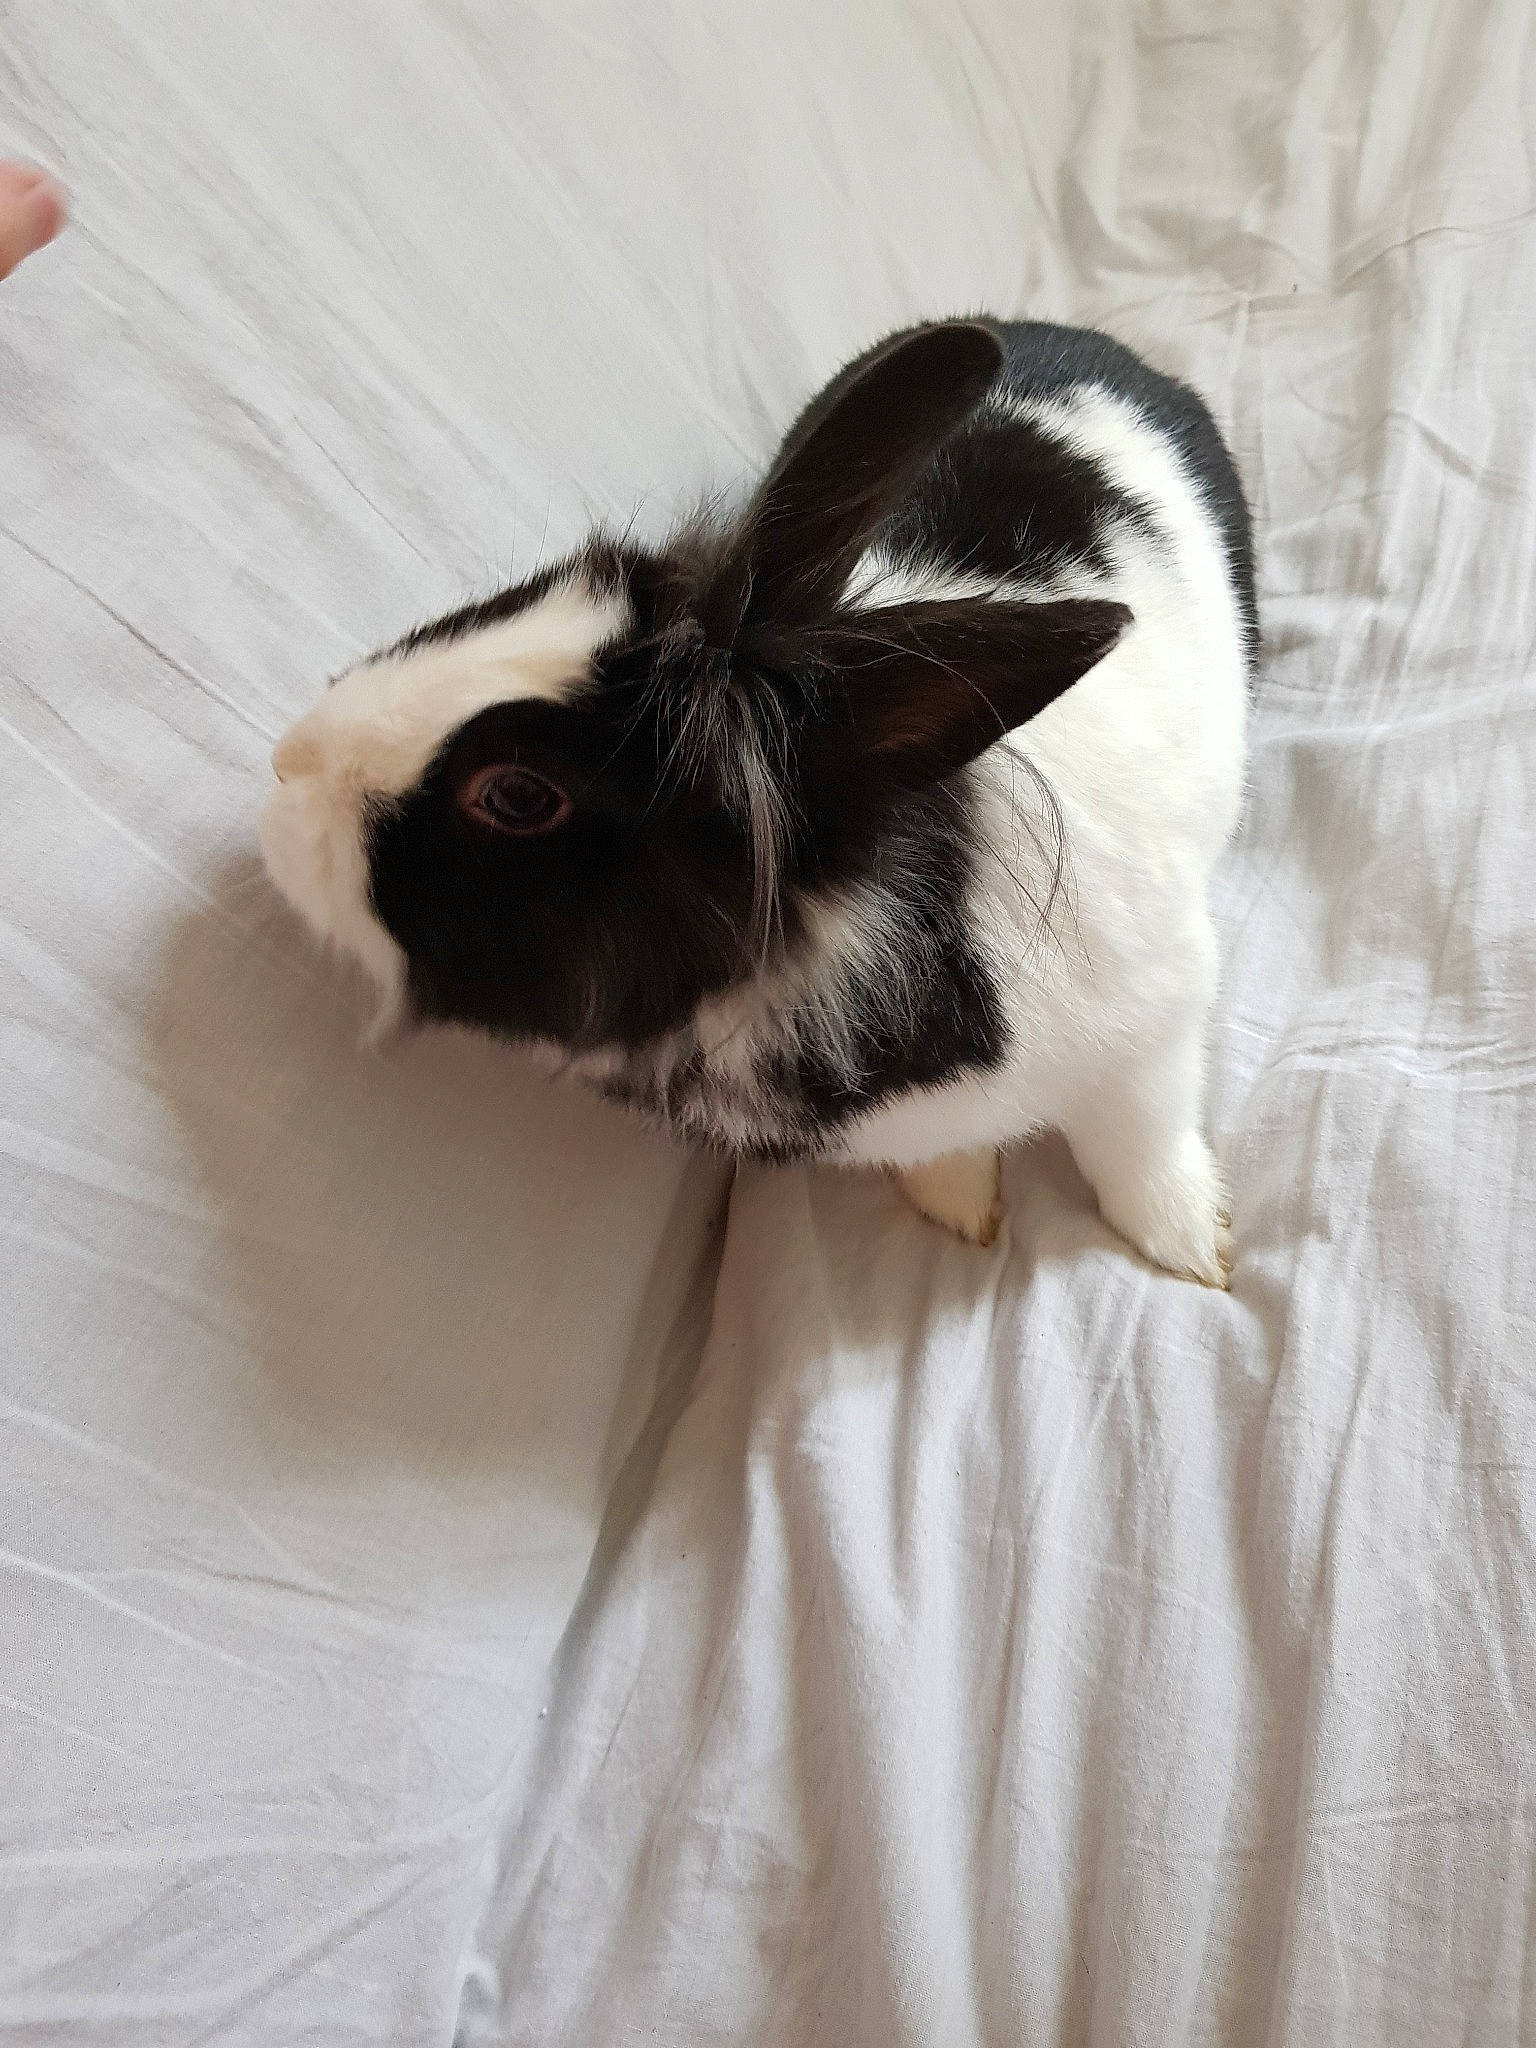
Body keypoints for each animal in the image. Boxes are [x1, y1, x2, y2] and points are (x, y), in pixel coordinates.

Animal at [261, 317, 1255, 1283]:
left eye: (515, 794)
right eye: (526, 595)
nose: (286, 766)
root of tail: (1094, 342)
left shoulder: (1160, 1019)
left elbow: (1140, 1140)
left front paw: (1191, 1246)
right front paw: (960, 1201)